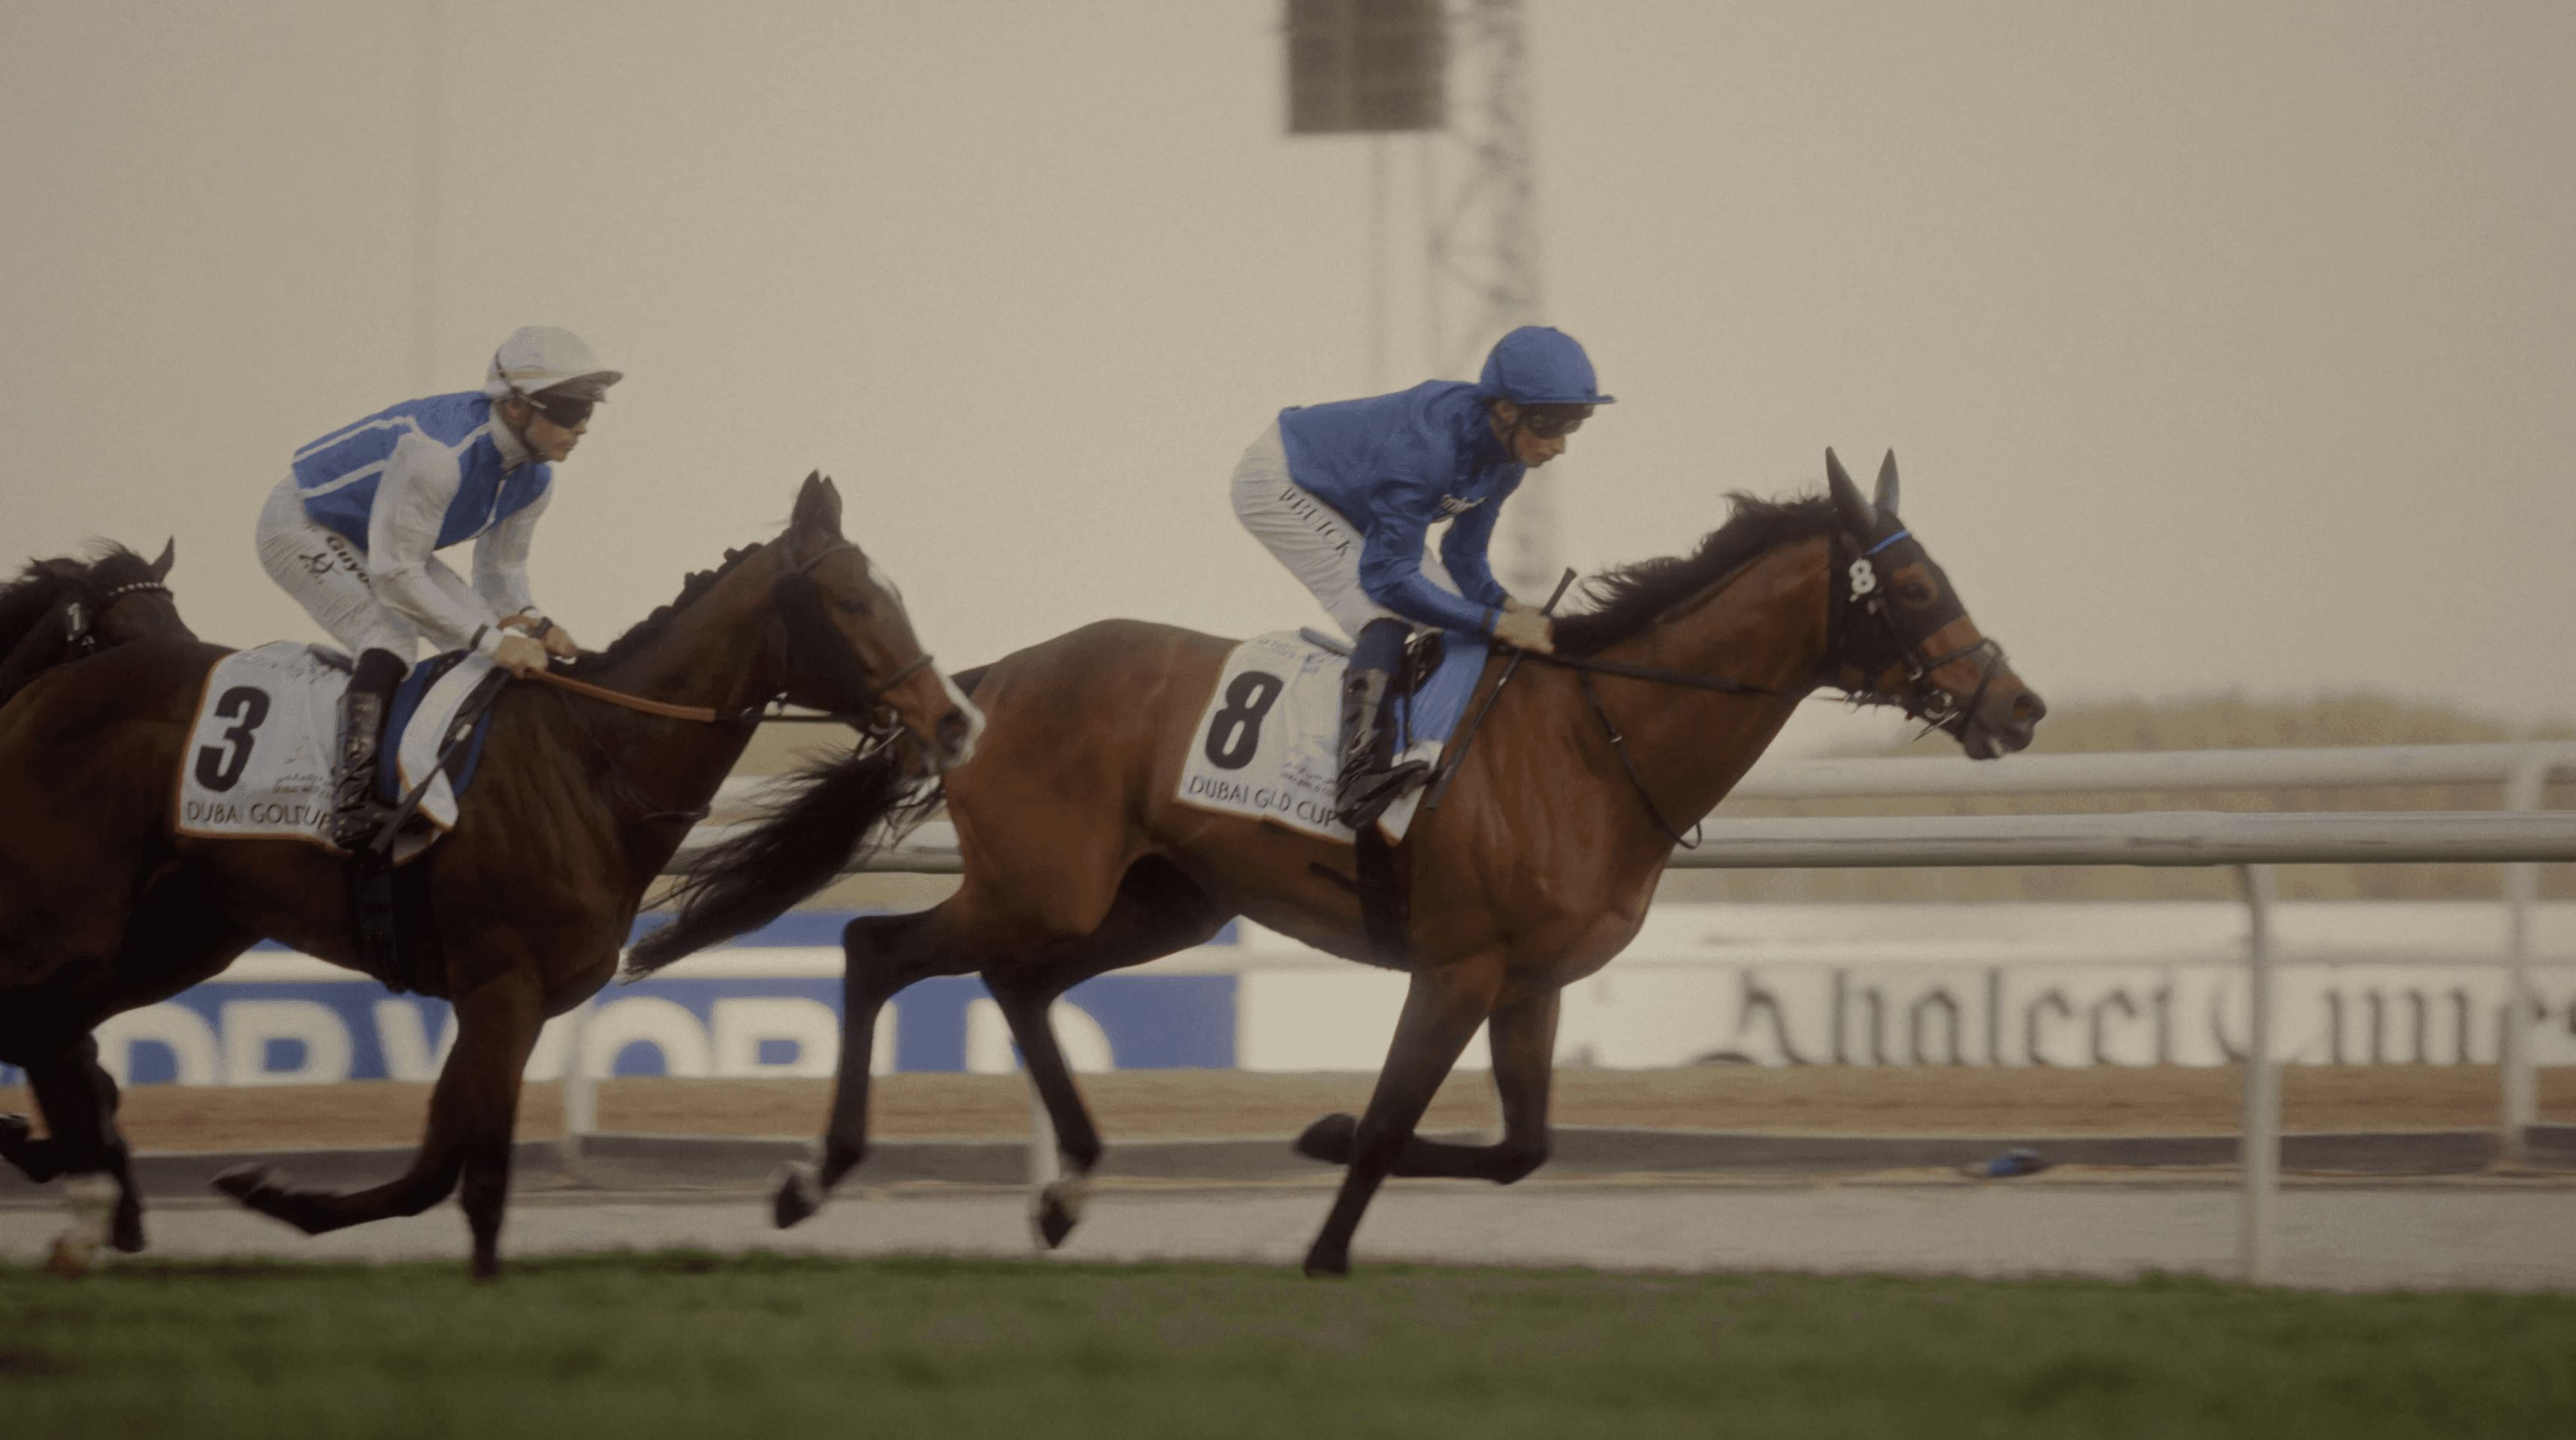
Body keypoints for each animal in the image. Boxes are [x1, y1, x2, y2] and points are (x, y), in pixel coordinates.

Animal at [0, 473, 982, 1277]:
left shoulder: (509, 998)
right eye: (853, 599)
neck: (588, 763)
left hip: (175, 935)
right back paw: (81, 1197)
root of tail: (41, 695)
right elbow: (475, 1182)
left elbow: (436, 1164)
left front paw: (279, 1194)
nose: (954, 718)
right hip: (75, 919)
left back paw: (85, 1193)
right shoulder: (503, 983)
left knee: (54, 1031)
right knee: (44, 1025)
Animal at [635, 450, 2045, 1277]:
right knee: (876, 950)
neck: (1596, 742)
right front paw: (1320, 1230)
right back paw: (812, 1179)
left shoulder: (1531, 982)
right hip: (1044, 884)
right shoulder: (1457, 965)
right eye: (1918, 591)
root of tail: (980, 683)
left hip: (1154, 902)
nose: (2019, 707)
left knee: (1015, 987)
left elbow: (1521, 1148)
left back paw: (1065, 1189)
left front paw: (1311, 1140)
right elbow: (1382, 1128)